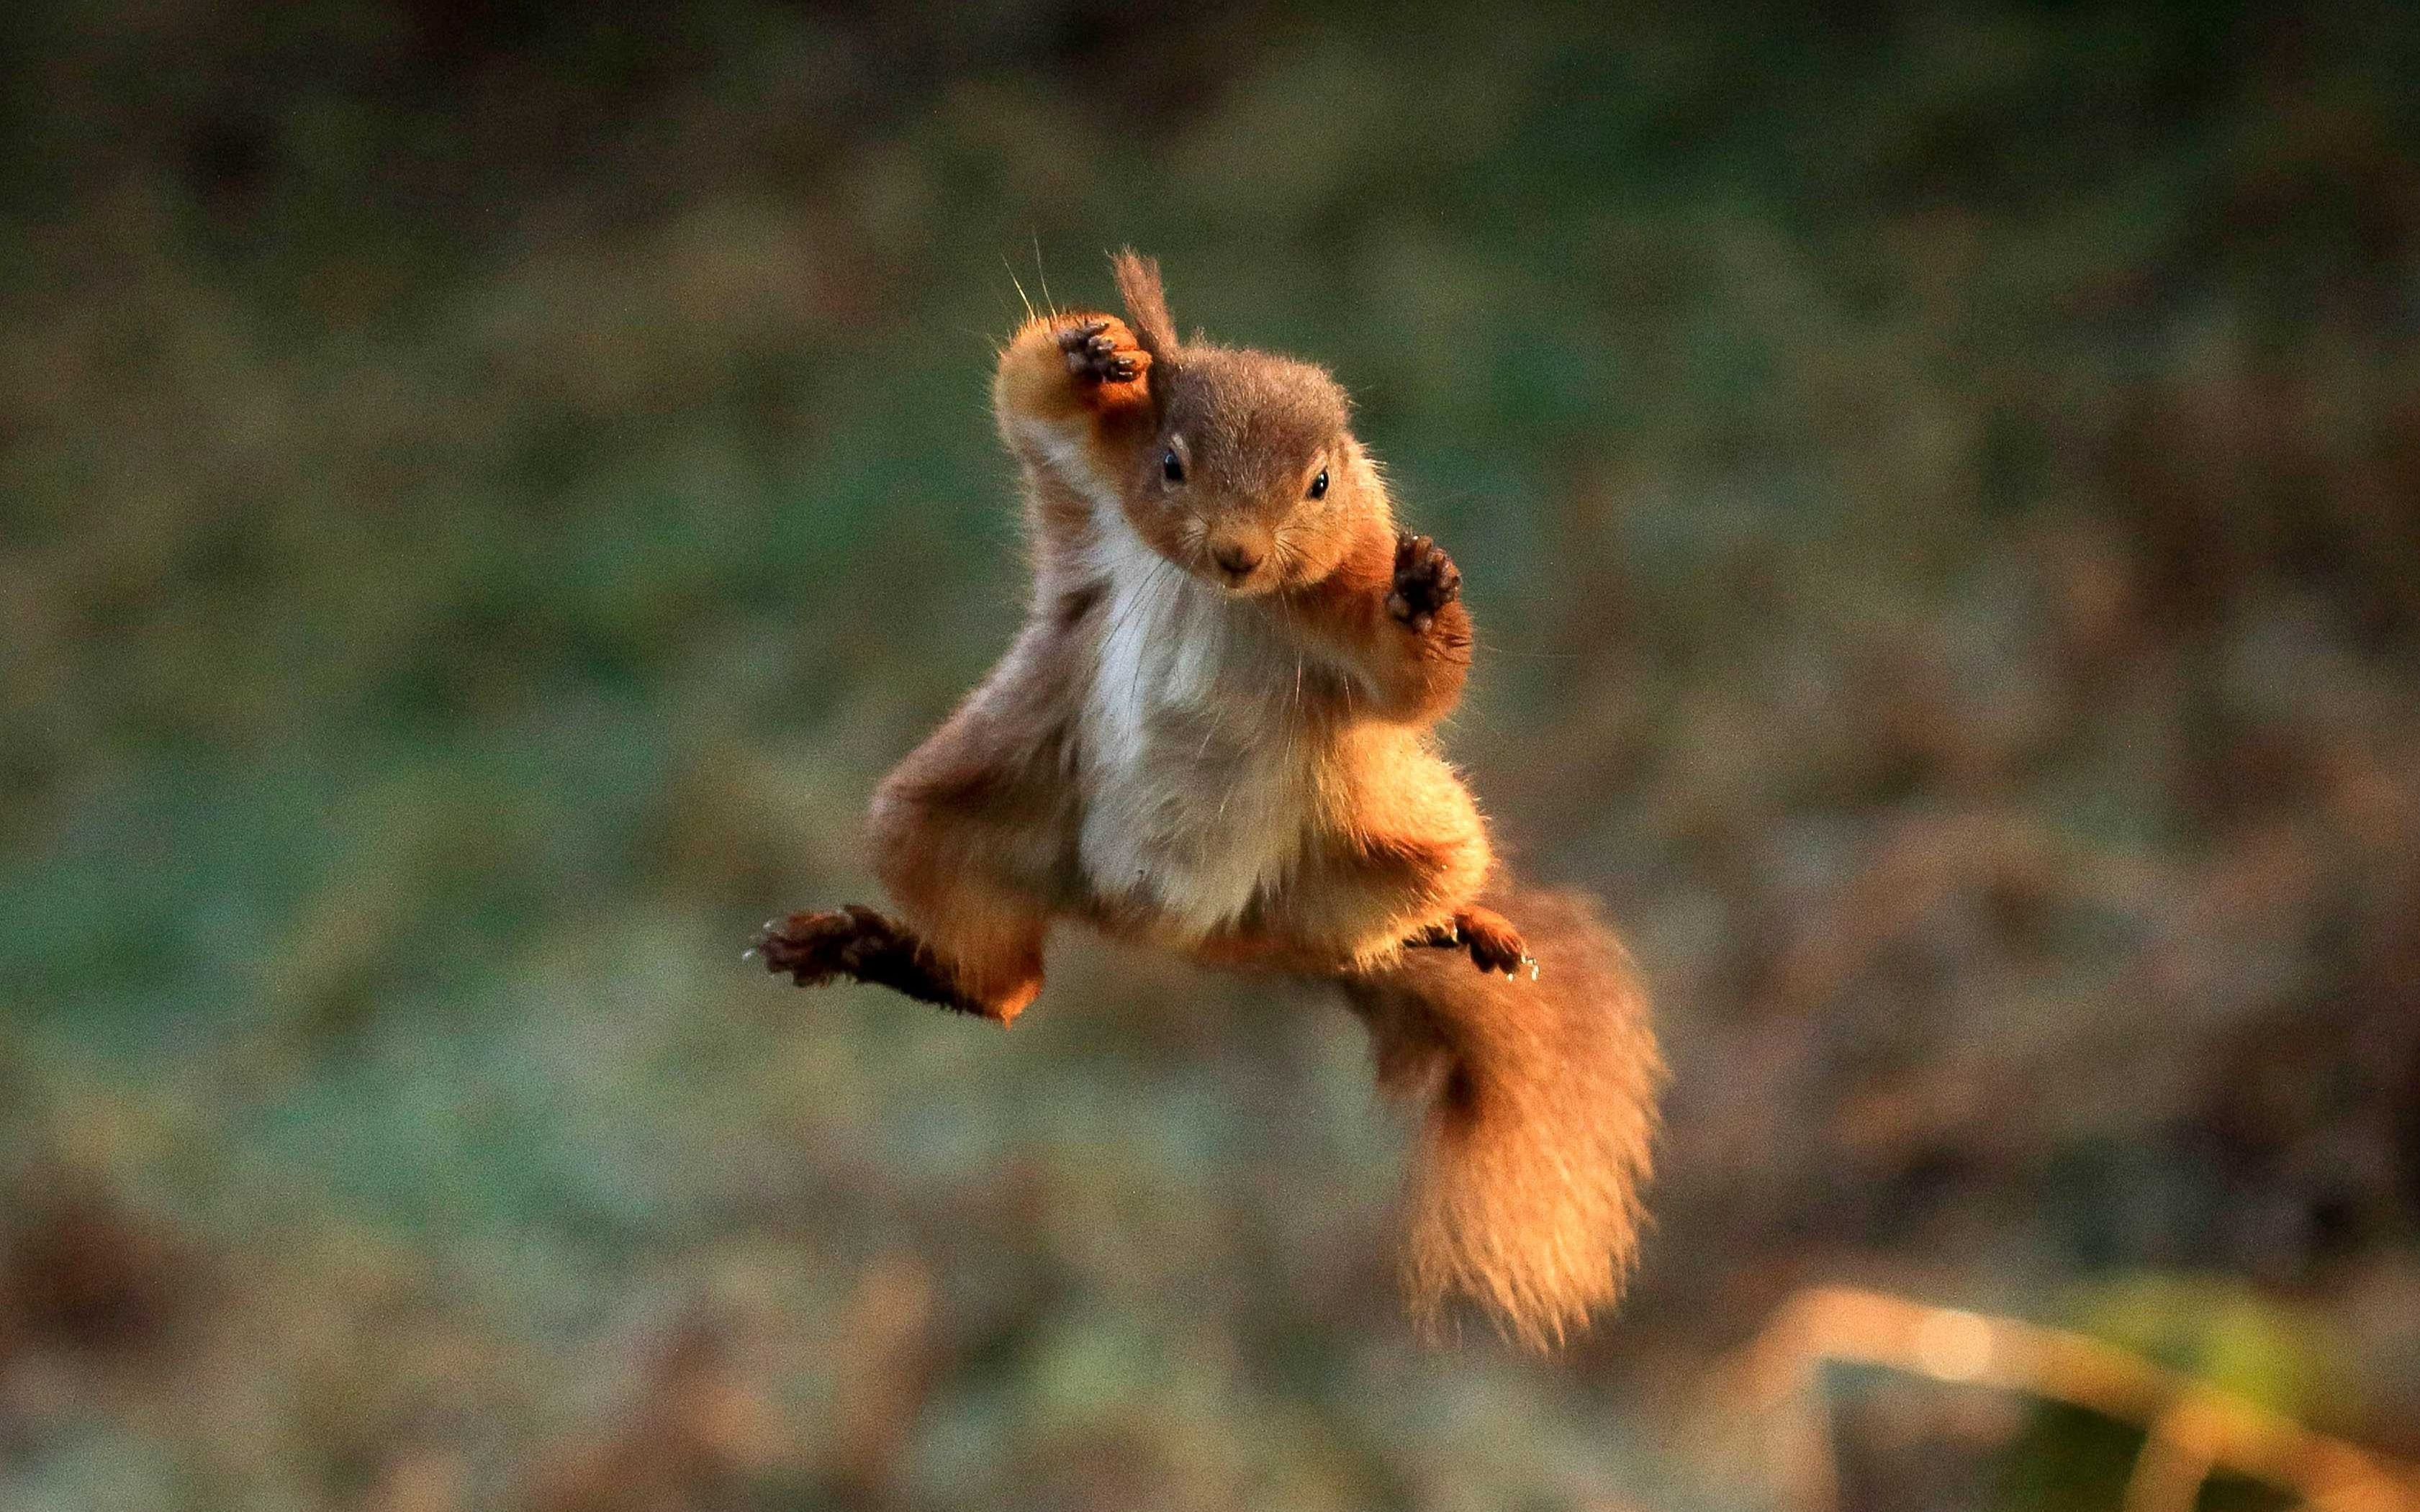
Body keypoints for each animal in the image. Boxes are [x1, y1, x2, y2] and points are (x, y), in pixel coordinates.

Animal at [759, 250, 1665, 1345]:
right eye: (1171, 463)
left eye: (1321, 482)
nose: (1235, 553)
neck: (1227, 594)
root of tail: (1166, 928)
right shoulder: (1089, 491)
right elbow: (1024, 404)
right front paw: (1095, 349)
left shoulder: (1345, 616)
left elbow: (1414, 685)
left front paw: (1423, 597)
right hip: (954, 808)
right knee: (1006, 987)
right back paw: (869, 949)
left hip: (1386, 847)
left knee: (1356, 933)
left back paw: (1449, 930)